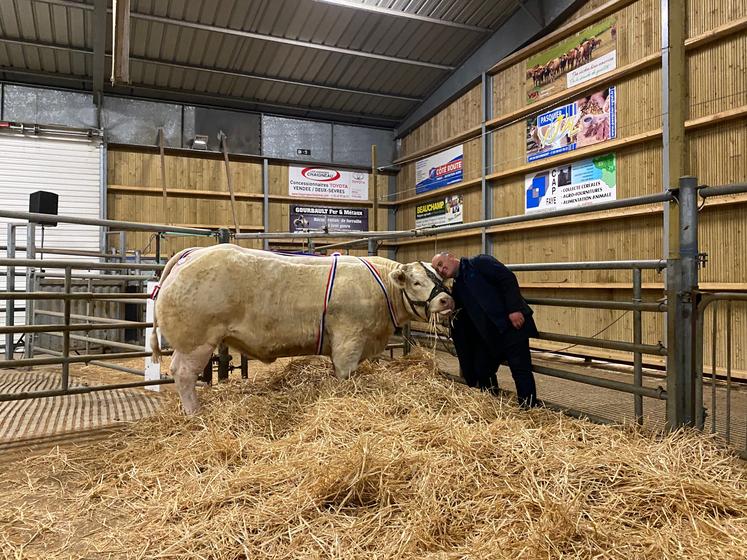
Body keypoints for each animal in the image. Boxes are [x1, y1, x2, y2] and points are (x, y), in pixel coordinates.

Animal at [149, 247, 452, 414]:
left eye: (441, 276)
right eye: (416, 282)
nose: (446, 300)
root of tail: (193, 253)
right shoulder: (349, 340)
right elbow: (344, 374)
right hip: (195, 341)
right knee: (183, 374)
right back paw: (195, 412)